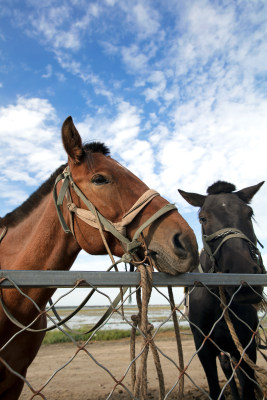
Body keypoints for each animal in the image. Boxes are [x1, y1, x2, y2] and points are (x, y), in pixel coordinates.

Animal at [179, 182, 266, 400]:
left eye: (249, 213)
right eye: (203, 218)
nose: (242, 272)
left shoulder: (246, 345)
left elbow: (248, 387)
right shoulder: (204, 348)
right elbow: (214, 387)